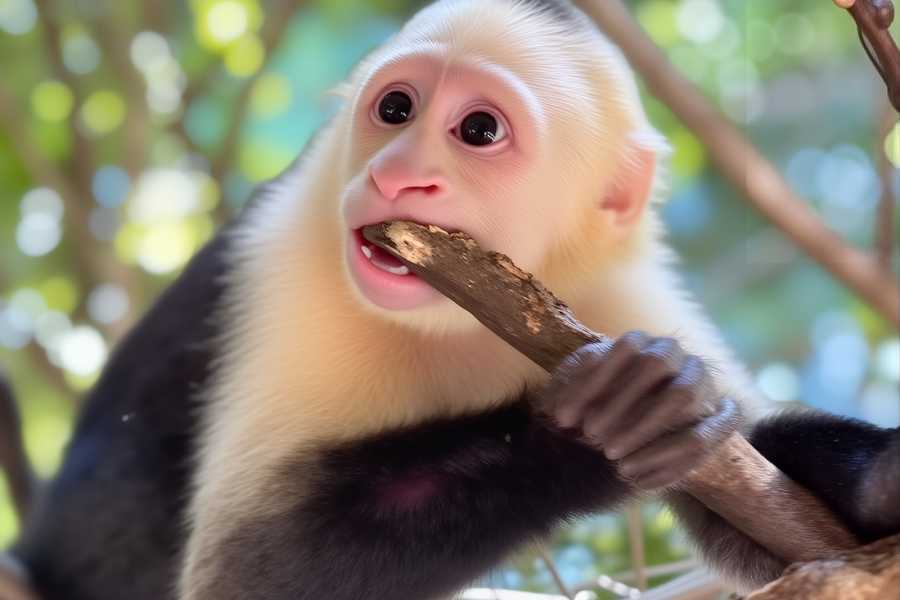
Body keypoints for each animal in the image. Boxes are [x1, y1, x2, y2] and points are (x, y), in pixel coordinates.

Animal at [4, 1, 898, 599]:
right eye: (396, 109)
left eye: (477, 130)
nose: (400, 172)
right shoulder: (287, 259)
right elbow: (249, 571)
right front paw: (593, 431)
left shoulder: (617, 287)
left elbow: (768, 519)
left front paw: (877, 480)